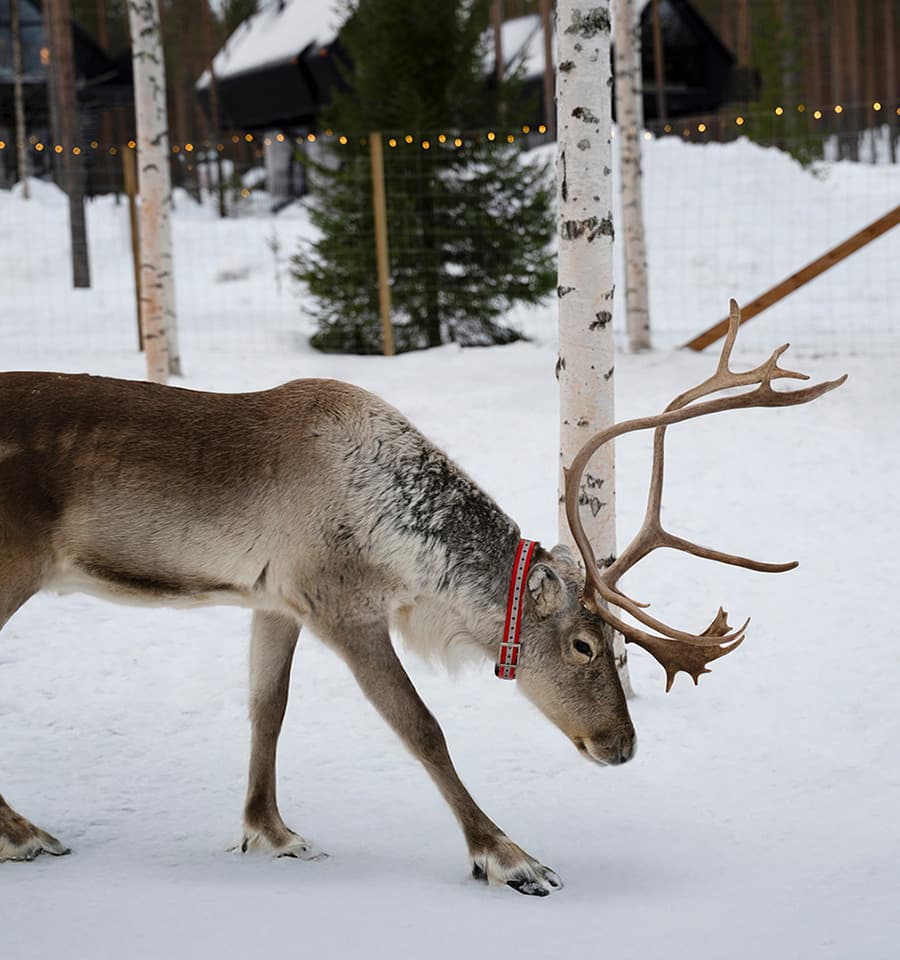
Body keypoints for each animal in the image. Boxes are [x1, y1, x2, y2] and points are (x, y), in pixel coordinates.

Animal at [0, 302, 845, 894]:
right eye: (584, 644)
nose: (622, 745)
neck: (401, 538)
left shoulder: (274, 602)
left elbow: (267, 711)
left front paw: (270, 832)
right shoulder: (343, 607)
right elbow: (423, 728)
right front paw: (507, 857)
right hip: (14, 564)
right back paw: (25, 835)